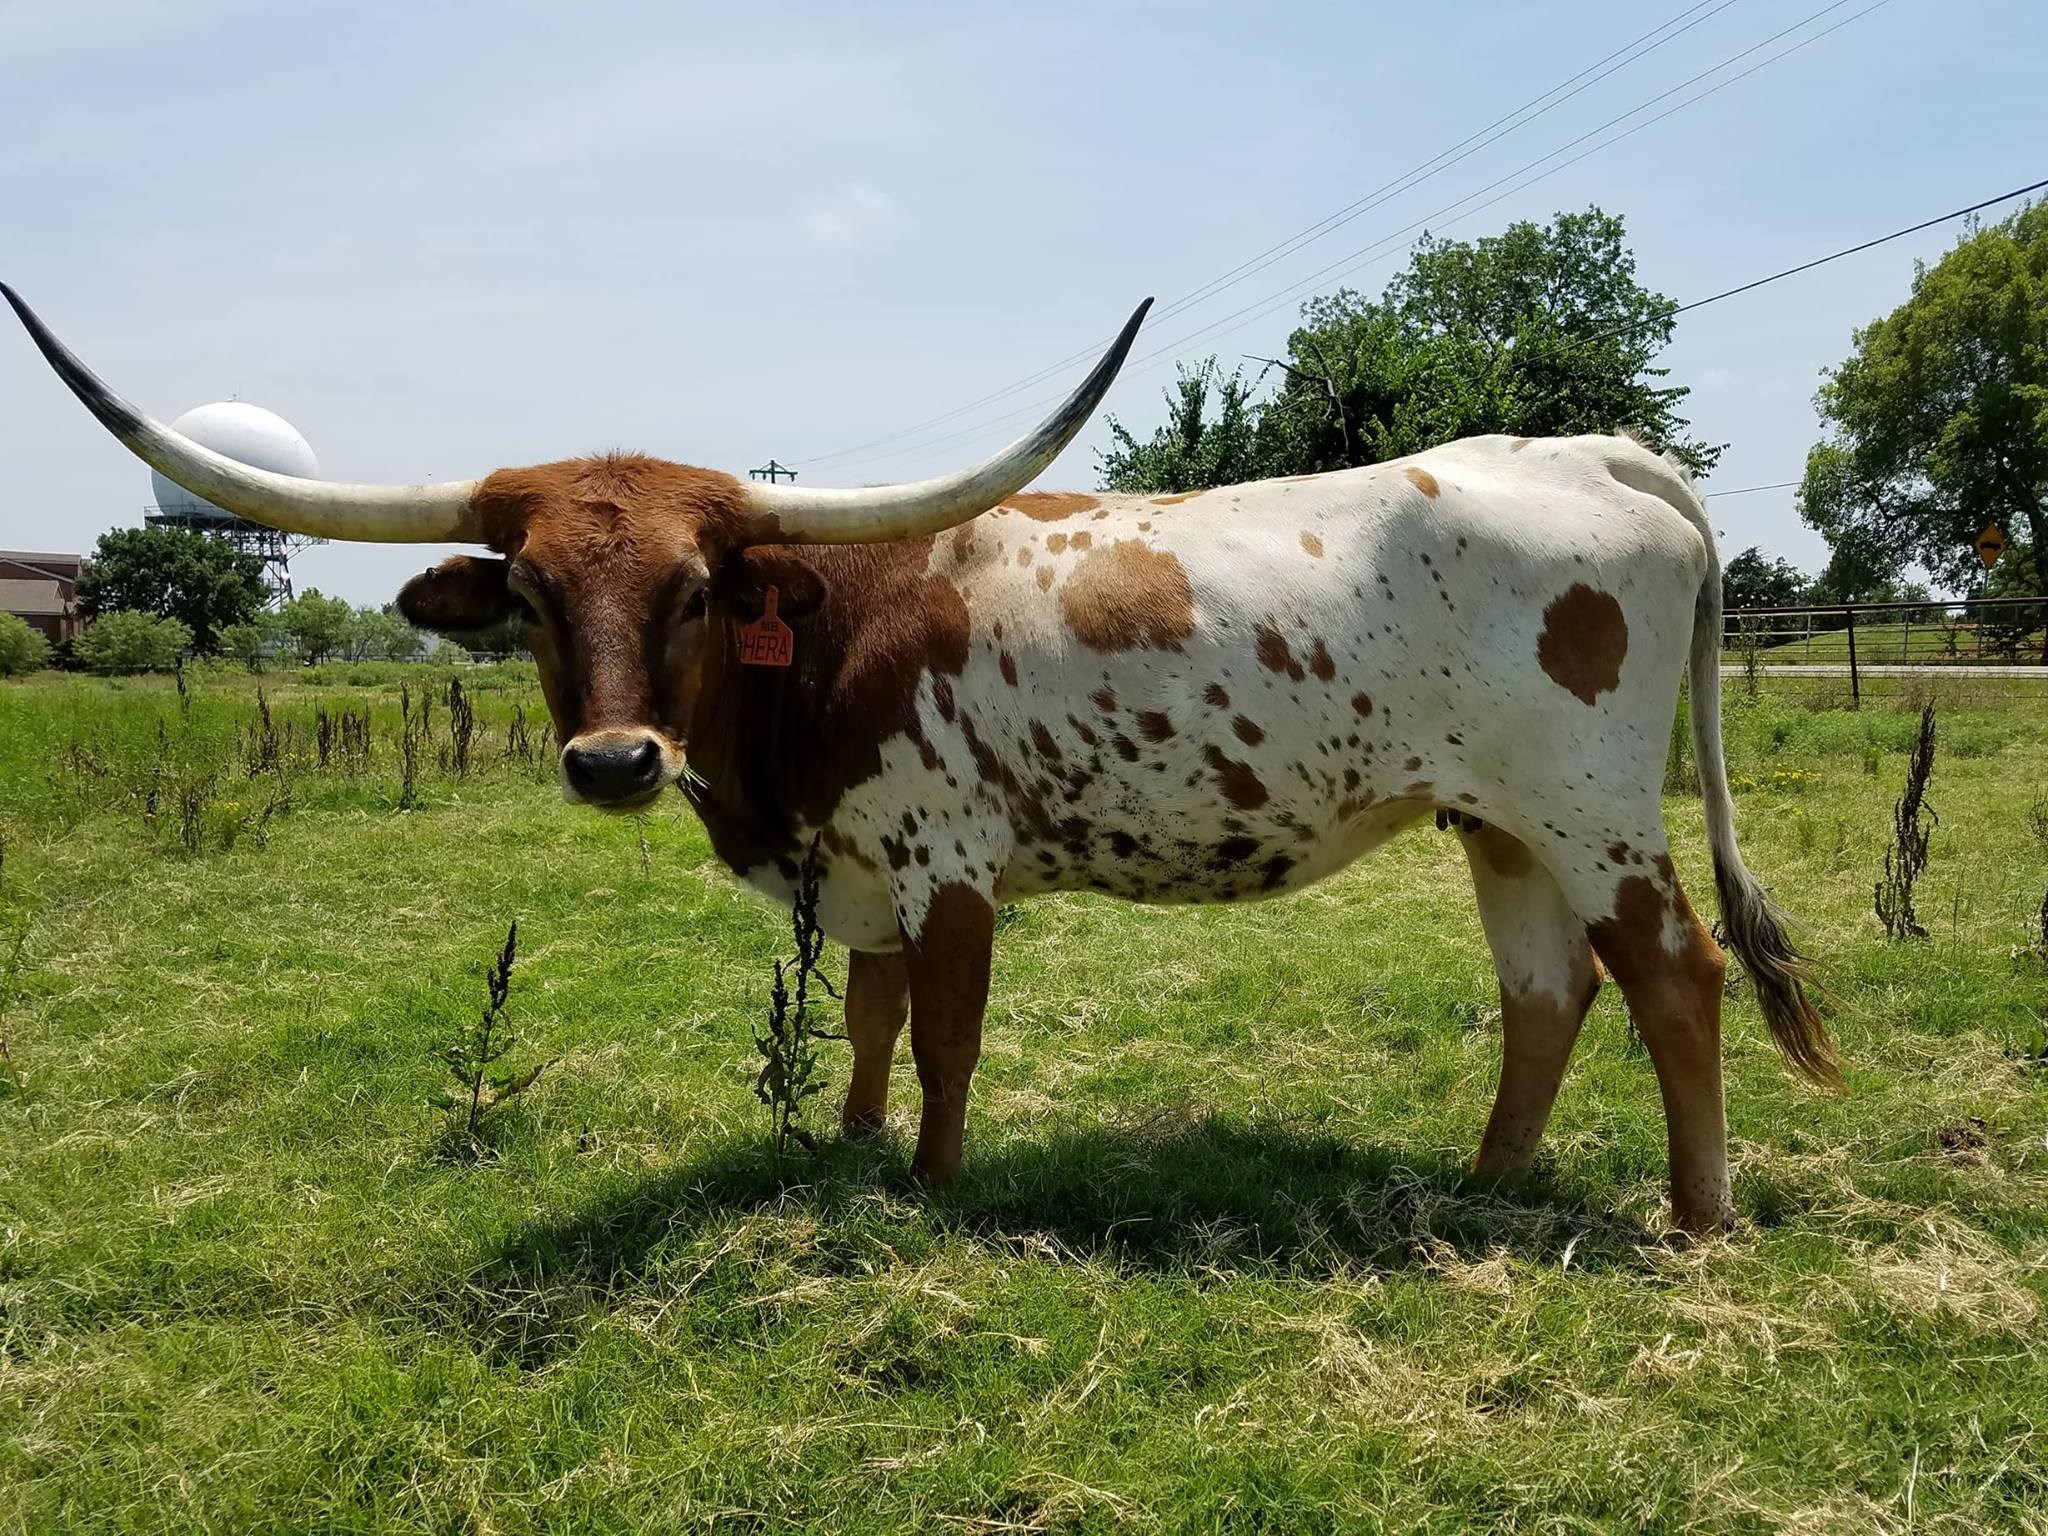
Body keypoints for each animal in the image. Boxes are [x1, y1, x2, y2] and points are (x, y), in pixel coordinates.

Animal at [6, 284, 1839, 1233]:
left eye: (695, 589)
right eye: (524, 594)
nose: (611, 760)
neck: (812, 651)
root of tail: (1590, 451)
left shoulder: (948, 859)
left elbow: (949, 1032)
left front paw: (942, 1186)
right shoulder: (857, 868)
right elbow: (872, 1020)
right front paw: (851, 1143)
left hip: (1591, 809)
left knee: (1672, 976)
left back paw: (1696, 1216)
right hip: (1493, 815)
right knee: (1548, 989)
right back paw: (1482, 1182)